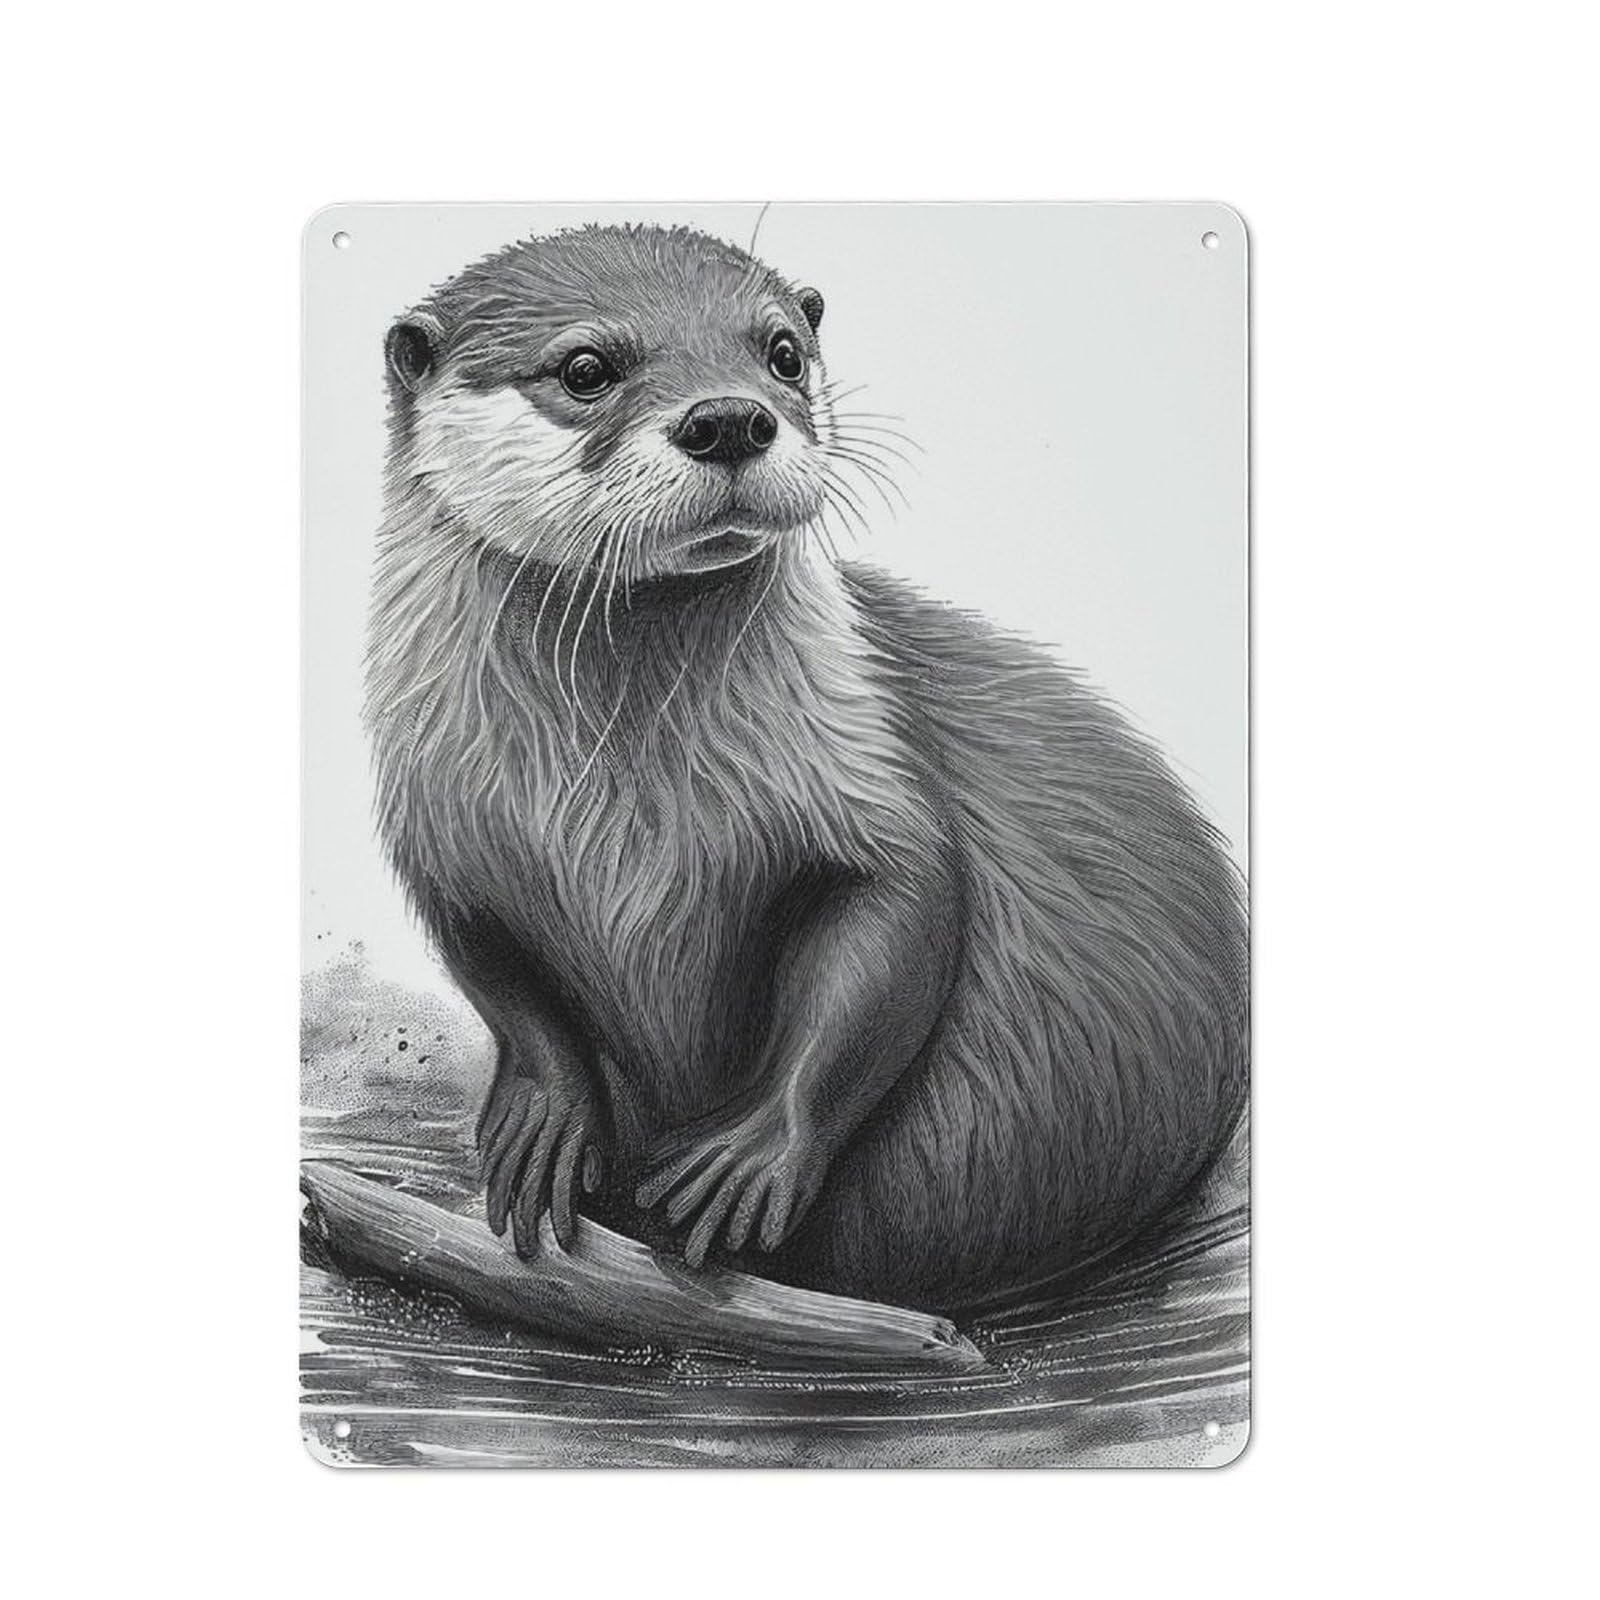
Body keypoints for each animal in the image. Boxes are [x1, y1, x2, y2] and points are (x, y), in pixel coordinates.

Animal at [366, 224, 1246, 1313]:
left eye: (782, 352)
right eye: (584, 369)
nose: (730, 418)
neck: (621, 793)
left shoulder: (862, 757)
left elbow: (898, 917)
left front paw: (751, 1153)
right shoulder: (440, 827)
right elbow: (496, 971)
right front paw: (545, 1120)